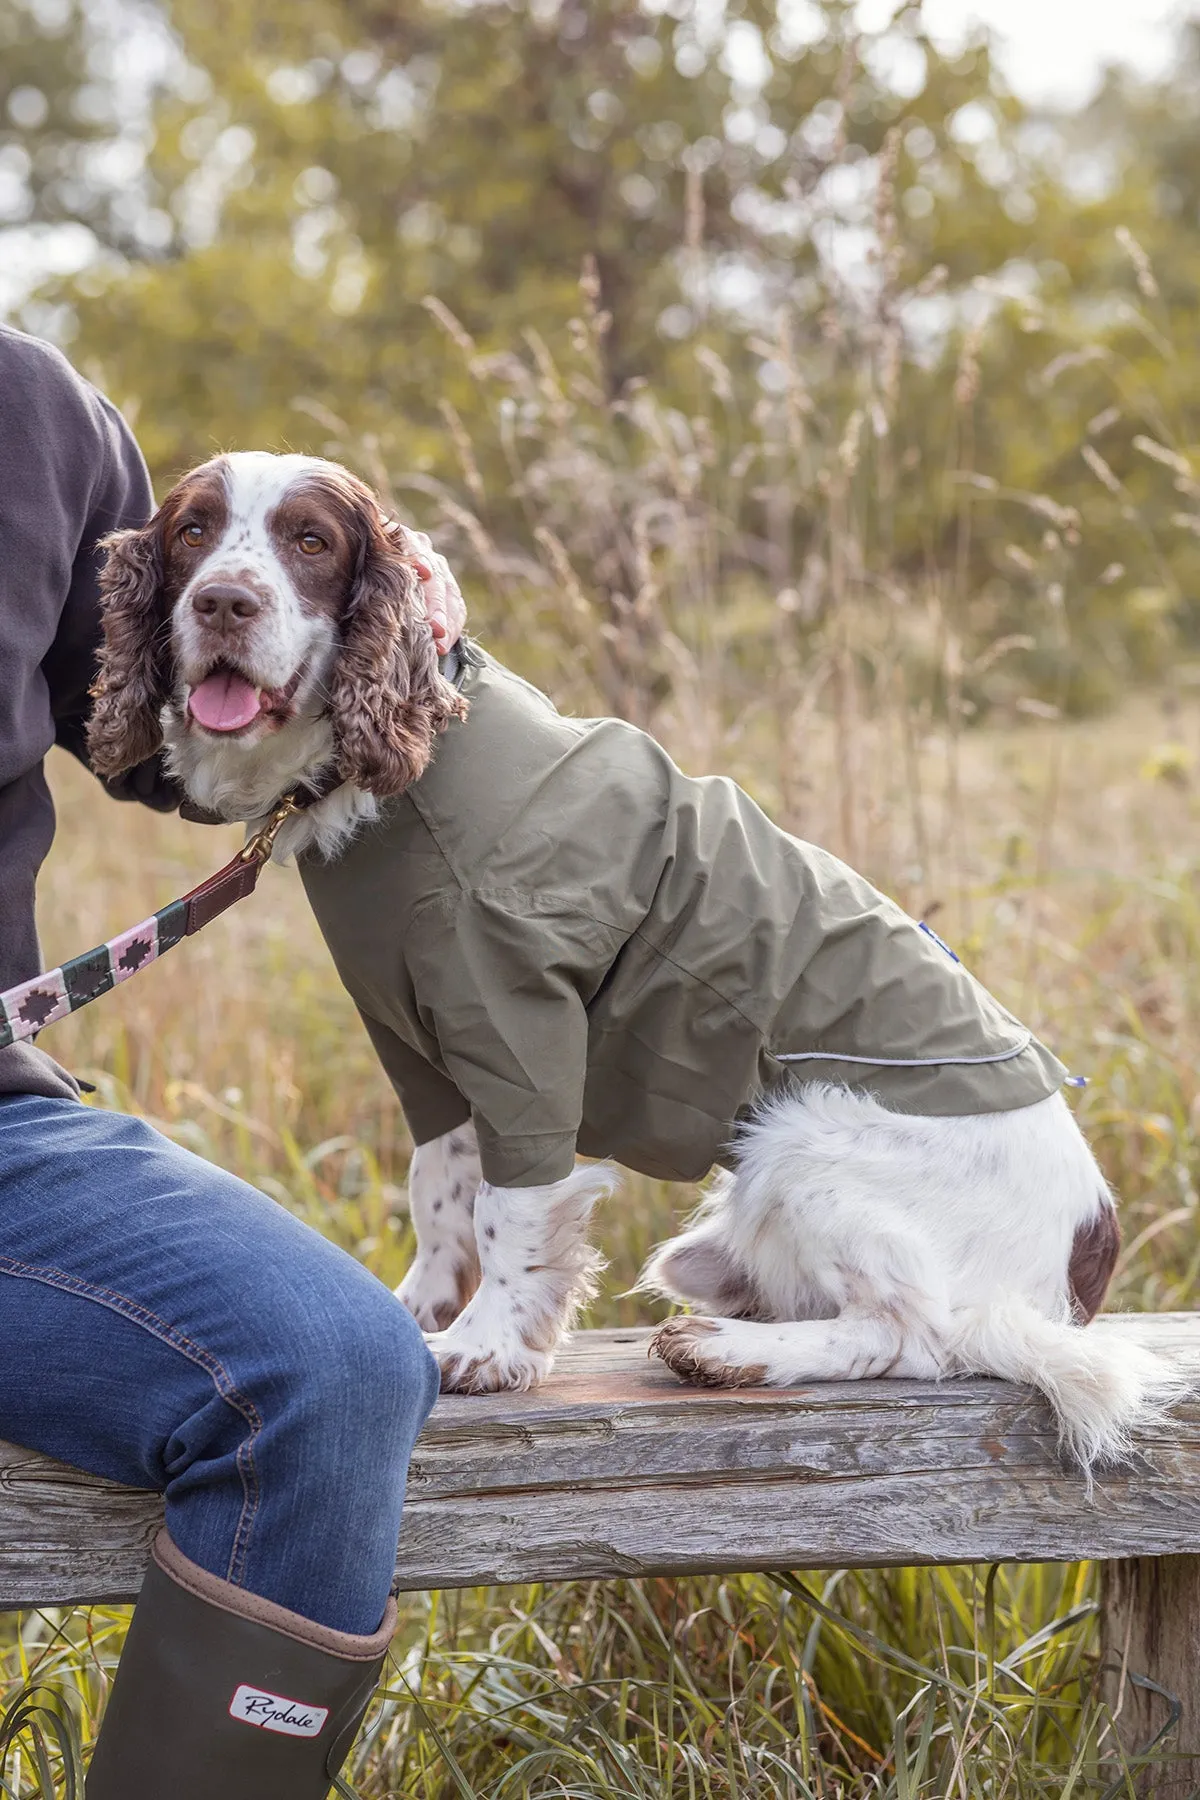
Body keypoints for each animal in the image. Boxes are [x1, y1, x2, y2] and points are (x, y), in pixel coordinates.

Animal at [89, 446, 1187, 1461]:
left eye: (310, 542)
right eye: (193, 531)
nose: (224, 602)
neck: (401, 770)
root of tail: (1073, 1273)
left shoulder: (519, 1026)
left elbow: (511, 1208)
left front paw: (487, 1349)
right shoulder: (423, 1046)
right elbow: (440, 1194)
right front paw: (419, 1312)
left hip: (803, 1142)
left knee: (916, 1333)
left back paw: (733, 1353)